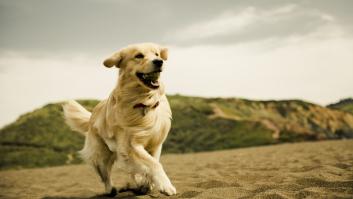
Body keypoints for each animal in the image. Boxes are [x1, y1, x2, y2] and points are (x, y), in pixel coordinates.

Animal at [62, 42, 175, 197]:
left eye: (156, 54)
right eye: (139, 56)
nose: (159, 62)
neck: (143, 102)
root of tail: (92, 115)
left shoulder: (155, 143)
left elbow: (152, 161)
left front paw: (148, 184)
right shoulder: (129, 145)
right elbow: (152, 163)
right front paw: (165, 185)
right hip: (101, 154)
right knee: (105, 174)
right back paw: (111, 189)